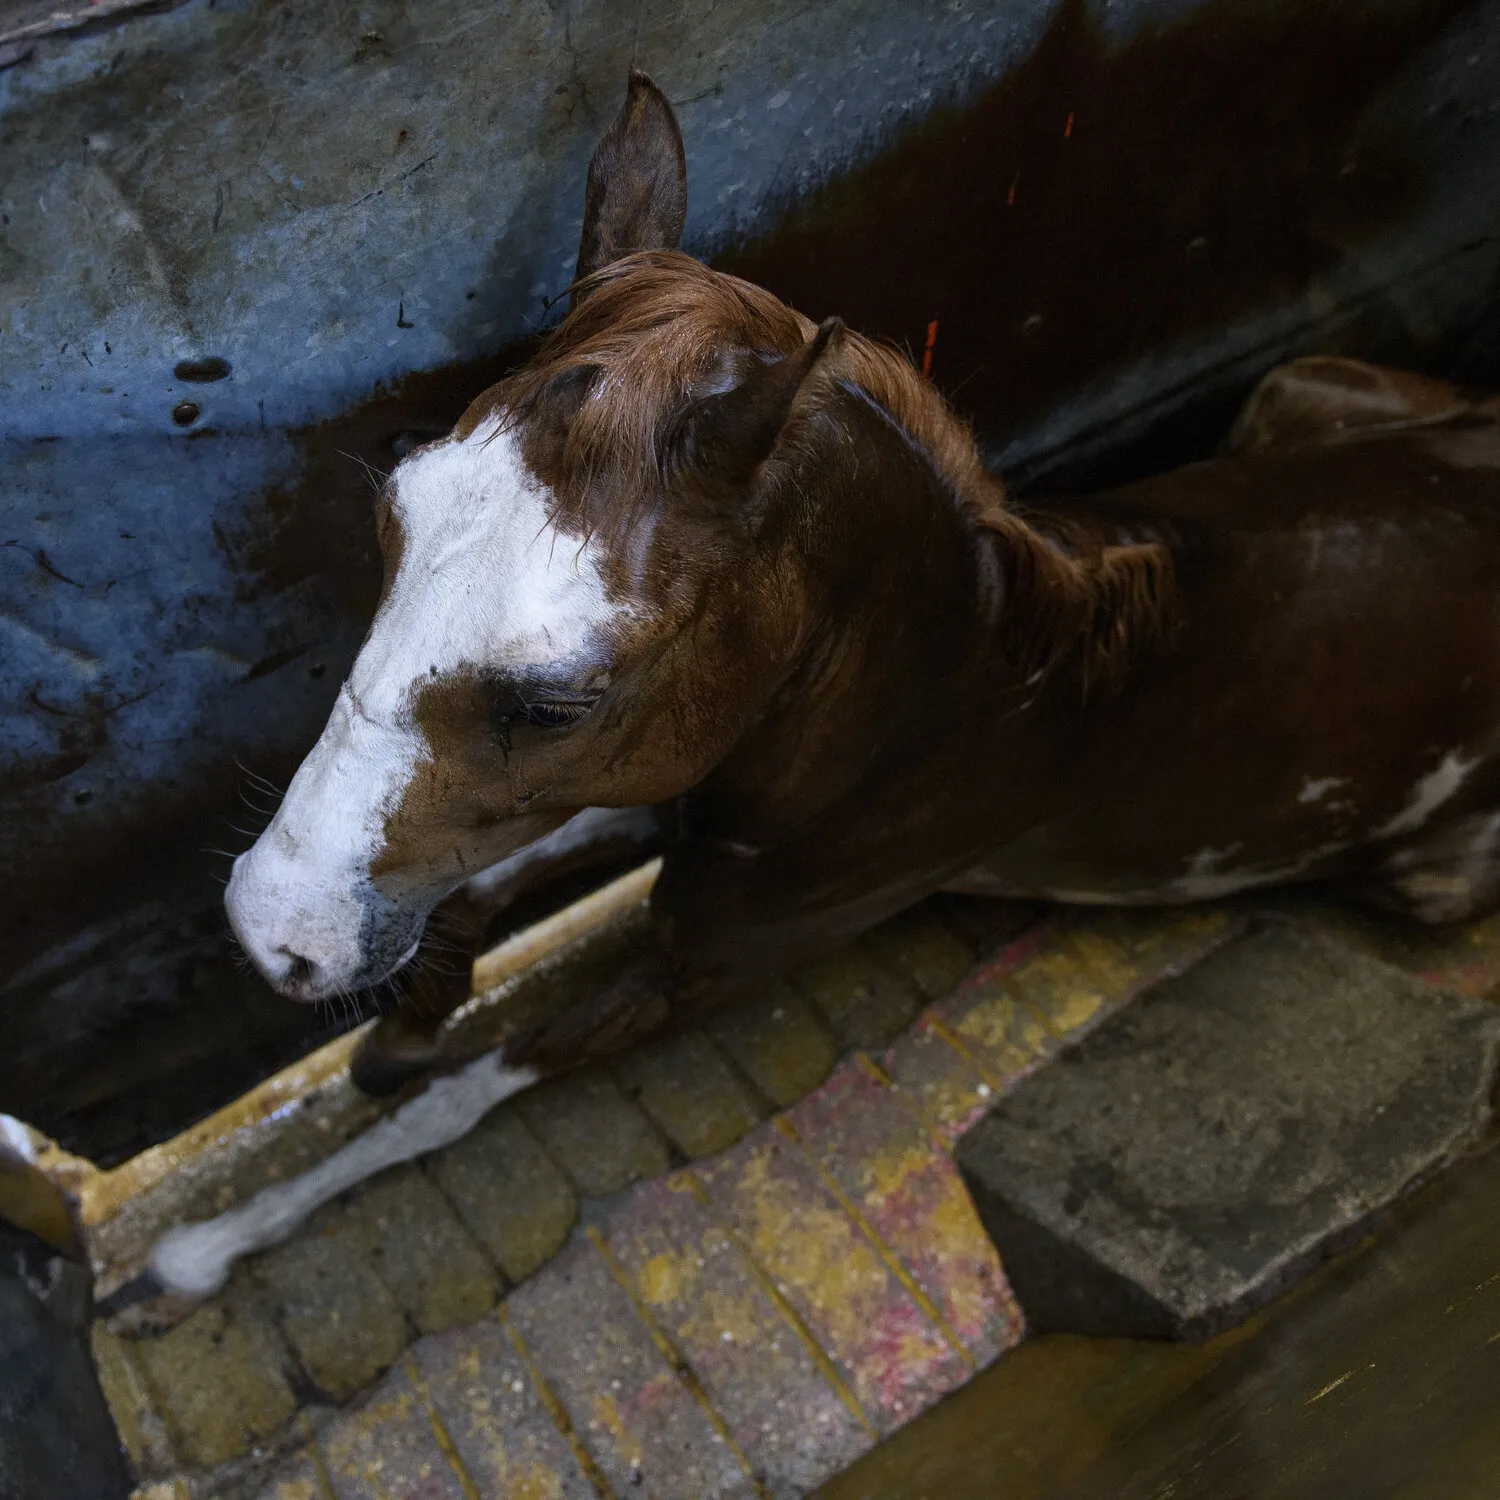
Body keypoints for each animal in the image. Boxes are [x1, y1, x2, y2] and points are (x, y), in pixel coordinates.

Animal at [225, 71, 1500, 1103]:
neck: (936, 719)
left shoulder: (702, 969)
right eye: (391, 514)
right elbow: (483, 882)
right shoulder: (682, 759)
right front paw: (401, 1028)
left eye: (555, 702)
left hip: (1434, 885)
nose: (273, 930)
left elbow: (454, 1096)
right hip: (1298, 390)